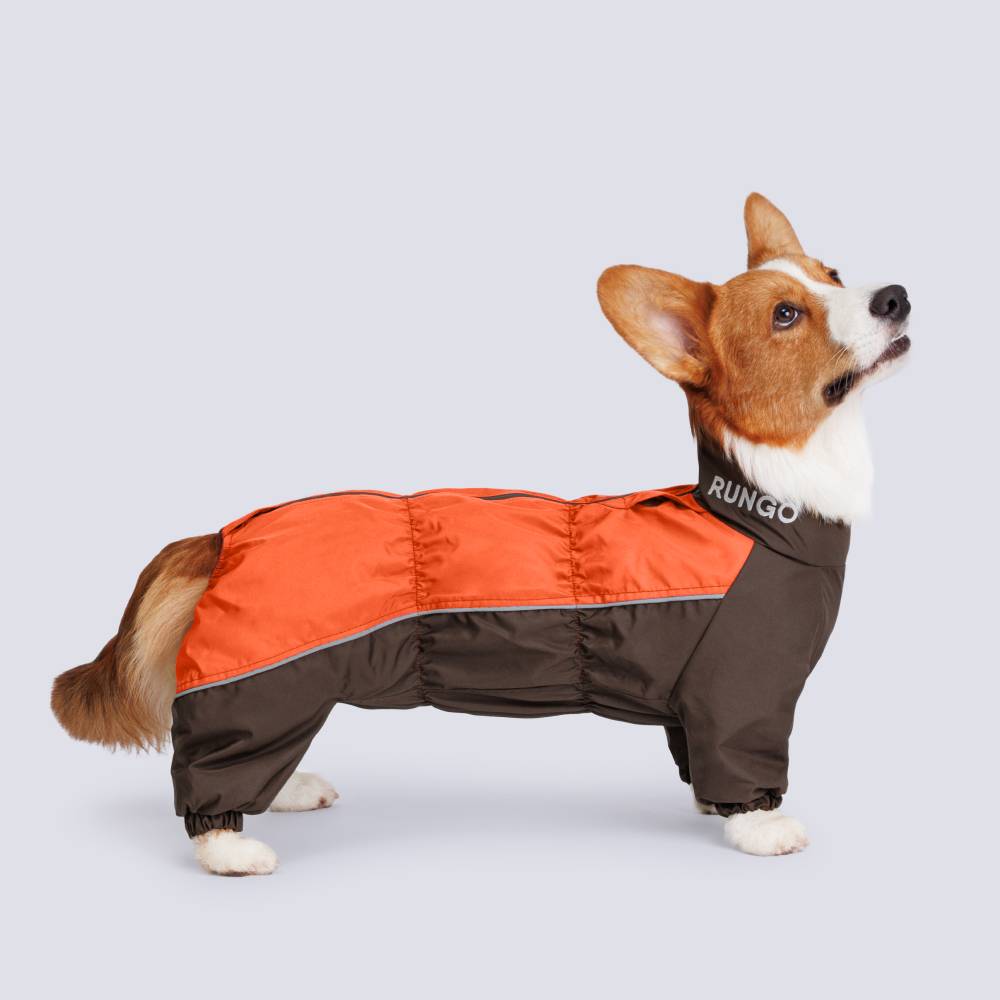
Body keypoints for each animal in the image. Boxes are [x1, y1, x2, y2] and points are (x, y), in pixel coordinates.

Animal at [51, 194, 910, 875]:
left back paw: (287, 789)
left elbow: (697, 763)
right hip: (266, 679)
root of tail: (223, 533)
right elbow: (744, 764)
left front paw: (713, 809)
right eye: (786, 315)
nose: (898, 296)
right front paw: (761, 825)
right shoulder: (742, 691)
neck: (759, 502)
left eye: (834, 274)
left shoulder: (695, 706)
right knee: (207, 771)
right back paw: (231, 846)